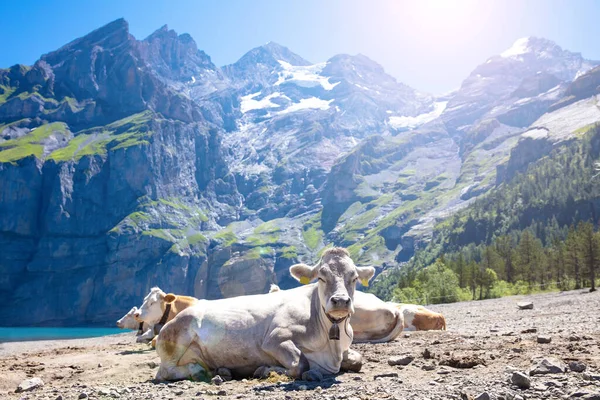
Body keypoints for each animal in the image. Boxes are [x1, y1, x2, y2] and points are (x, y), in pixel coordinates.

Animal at [154, 247, 376, 382]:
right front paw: (266, 369)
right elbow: (300, 364)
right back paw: (200, 370)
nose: (340, 301)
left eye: (354, 277)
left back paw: (221, 370)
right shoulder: (274, 338)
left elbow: (358, 361)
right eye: (321, 277)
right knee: (165, 371)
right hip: (177, 336)